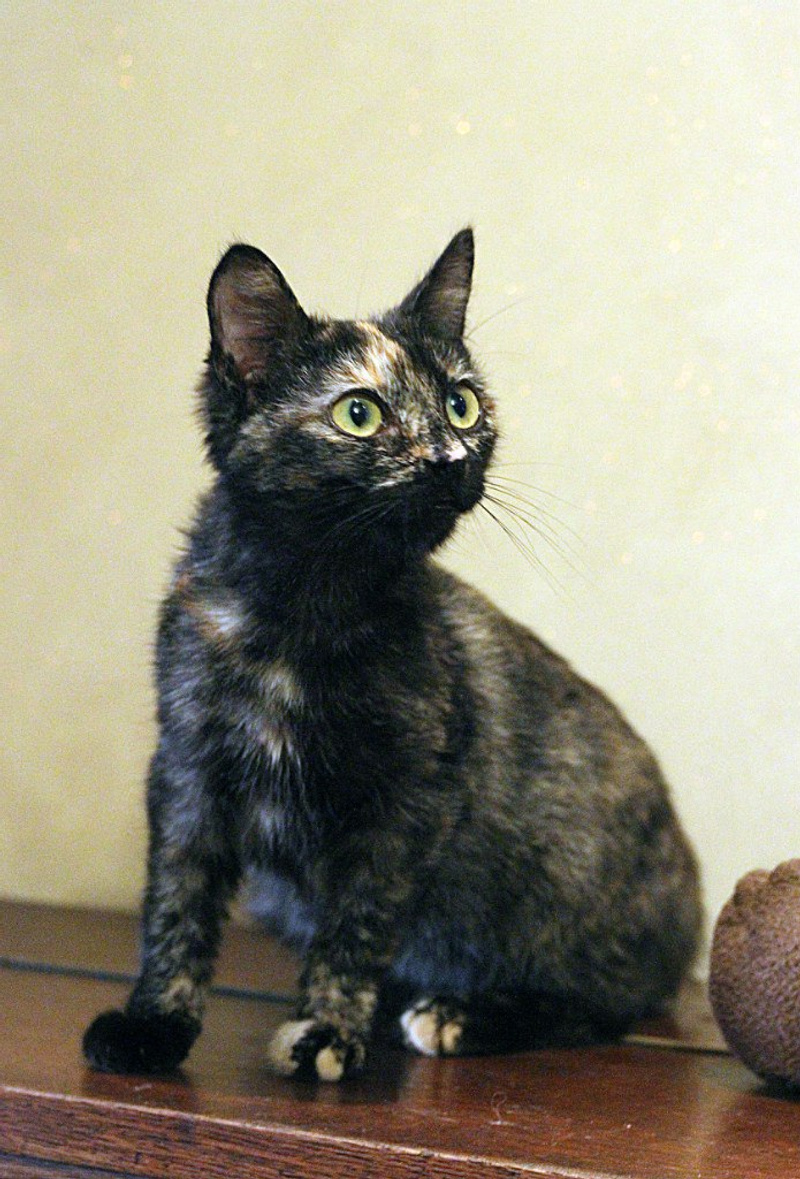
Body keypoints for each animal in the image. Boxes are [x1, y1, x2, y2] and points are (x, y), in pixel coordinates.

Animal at [83, 229, 702, 1082]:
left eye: (461, 403)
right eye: (359, 413)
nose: (449, 458)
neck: (305, 611)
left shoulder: (408, 797)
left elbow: (358, 922)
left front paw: (326, 1029)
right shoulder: (186, 773)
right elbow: (177, 903)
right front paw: (155, 1023)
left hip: (566, 876)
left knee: (600, 1002)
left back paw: (460, 1013)